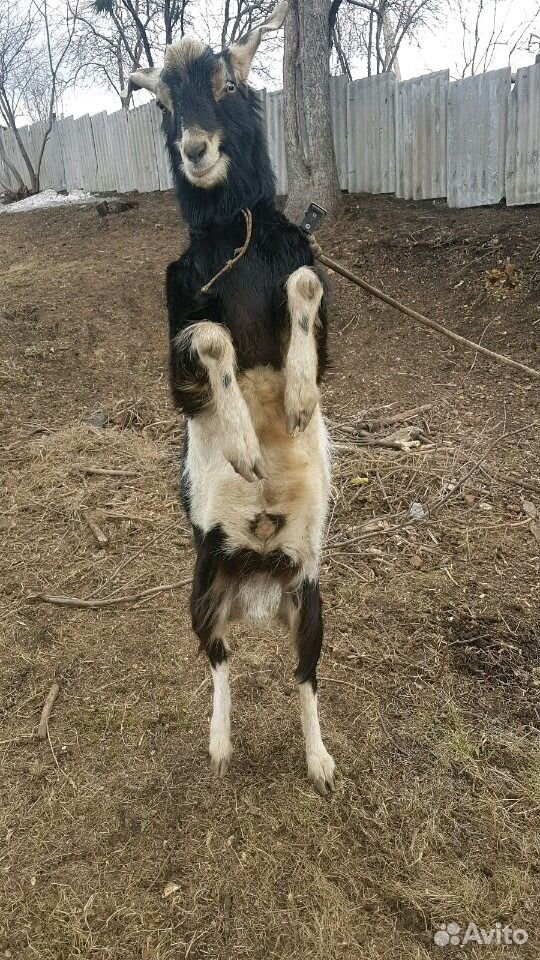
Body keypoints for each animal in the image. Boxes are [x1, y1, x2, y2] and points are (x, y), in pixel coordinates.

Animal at [128, 0, 336, 796]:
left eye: (226, 83)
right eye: (162, 102)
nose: (194, 149)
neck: (233, 236)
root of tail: (257, 598)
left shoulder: (307, 283)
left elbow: (304, 285)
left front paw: (301, 398)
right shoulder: (177, 346)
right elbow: (213, 338)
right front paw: (246, 445)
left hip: (312, 597)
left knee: (304, 676)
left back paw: (320, 761)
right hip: (200, 593)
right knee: (220, 659)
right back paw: (219, 743)